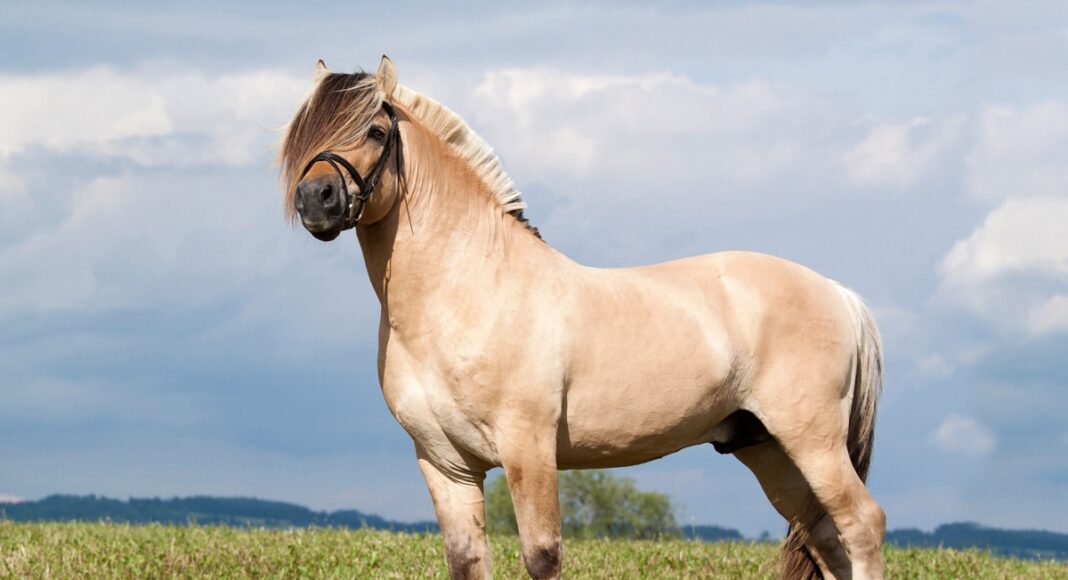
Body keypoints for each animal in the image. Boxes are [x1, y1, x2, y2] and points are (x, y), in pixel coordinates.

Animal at [278, 56, 885, 580]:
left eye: (377, 131)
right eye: (303, 134)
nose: (316, 199)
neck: (467, 291)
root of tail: (838, 294)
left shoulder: (528, 449)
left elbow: (542, 556)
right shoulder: (444, 463)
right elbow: (466, 562)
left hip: (812, 441)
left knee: (862, 525)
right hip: (769, 451)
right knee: (826, 538)